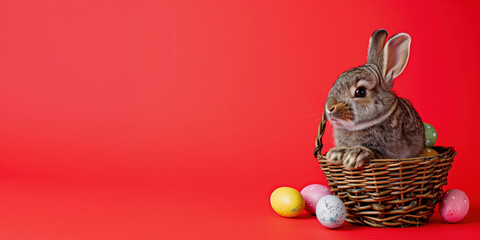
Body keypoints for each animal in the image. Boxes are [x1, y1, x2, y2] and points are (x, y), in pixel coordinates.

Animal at [326, 29, 424, 170]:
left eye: (360, 92)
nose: (329, 108)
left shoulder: (386, 151)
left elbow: (374, 152)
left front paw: (356, 155)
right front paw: (335, 153)